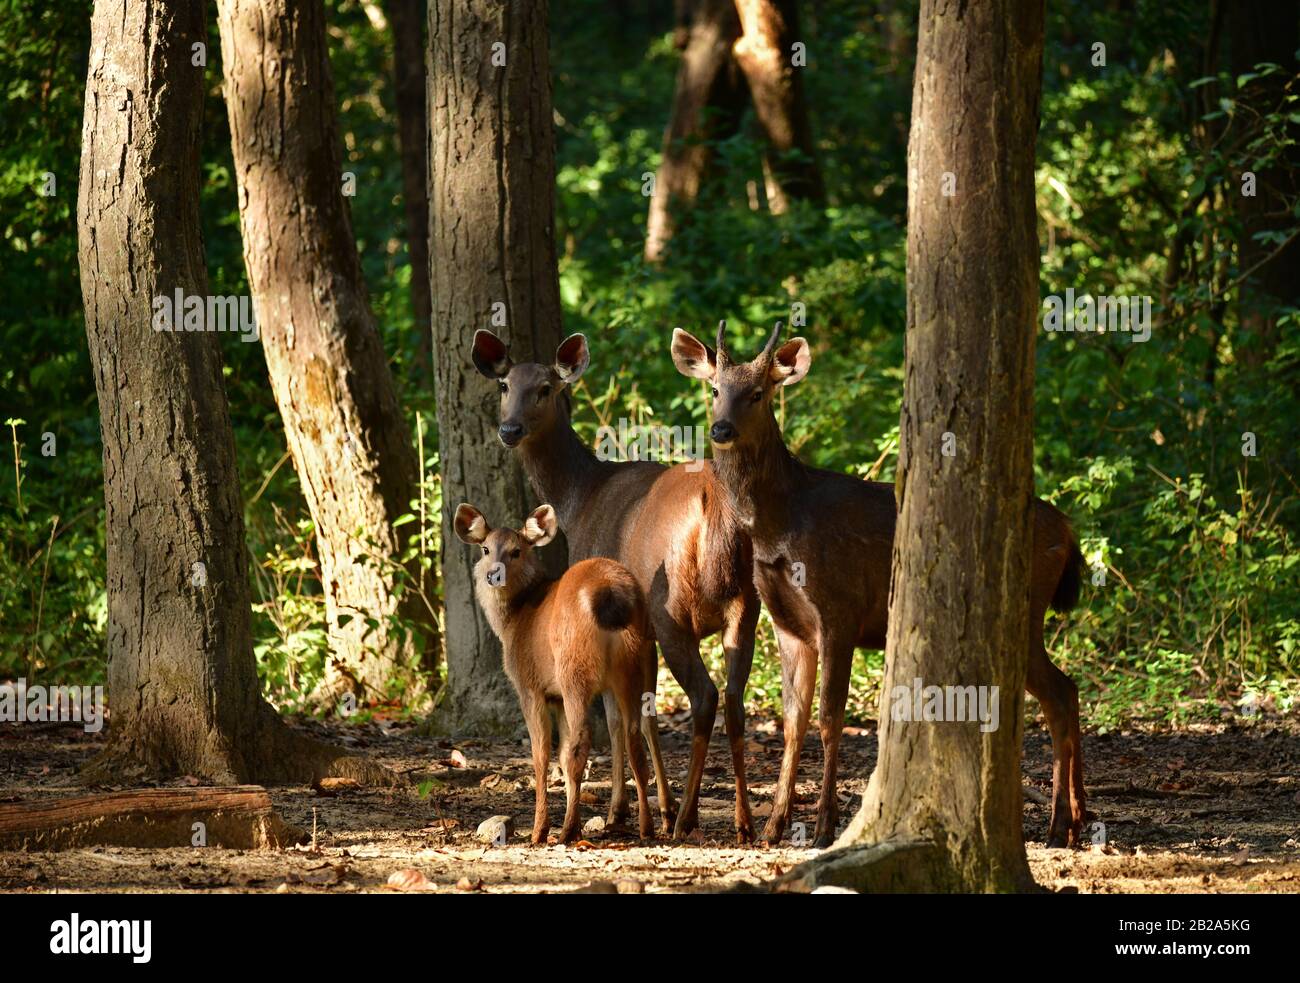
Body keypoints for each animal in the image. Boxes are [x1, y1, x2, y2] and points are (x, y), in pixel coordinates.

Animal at [454, 501, 665, 842]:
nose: (492, 574)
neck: (515, 621)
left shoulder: (531, 687)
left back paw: (566, 831)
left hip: (573, 669)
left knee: (581, 742)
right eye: (485, 549)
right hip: (632, 665)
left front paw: (538, 830)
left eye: (516, 551)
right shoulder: (556, 697)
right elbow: (561, 755)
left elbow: (541, 755)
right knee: (634, 739)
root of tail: (611, 593)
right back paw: (646, 828)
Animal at [473, 327, 759, 837]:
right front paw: (653, 805)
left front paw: (622, 810)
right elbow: (642, 714)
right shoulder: (639, 636)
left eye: (546, 388)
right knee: (734, 697)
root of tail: (717, 508)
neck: (579, 499)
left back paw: (686, 818)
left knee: (704, 695)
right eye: (505, 385)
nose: (510, 430)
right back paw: (744, 821)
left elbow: (618, 718)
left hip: (672, 609)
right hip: (748, 602)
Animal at [670, 326, 1086, 847]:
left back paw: (1059, 824)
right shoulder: (787, 622)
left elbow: (830, 719)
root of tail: (1067, 531)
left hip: (1024, 610)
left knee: (1059, 693)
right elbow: (792, 722)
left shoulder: (839, 608)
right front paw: (774, 825)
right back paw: (1074, 819)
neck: (778, 525)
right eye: (714, 390)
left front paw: (825, 826)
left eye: (758, 393)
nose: (721, 429)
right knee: (1065, 691)